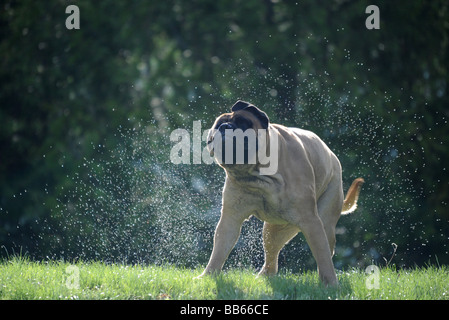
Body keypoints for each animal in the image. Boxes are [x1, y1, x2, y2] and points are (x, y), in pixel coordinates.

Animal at [200, 100, 364, 284]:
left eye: (243, 122)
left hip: (325, 221)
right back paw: (263, 276)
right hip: (273, 230)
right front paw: (207, 276)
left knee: (326, 251)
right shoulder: (230, 219)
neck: (258, 174)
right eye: (218, 124)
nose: (225, 126)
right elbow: (219, 250)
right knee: (272, 258)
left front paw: (330, 284)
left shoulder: (311, 222)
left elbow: (322, 256)